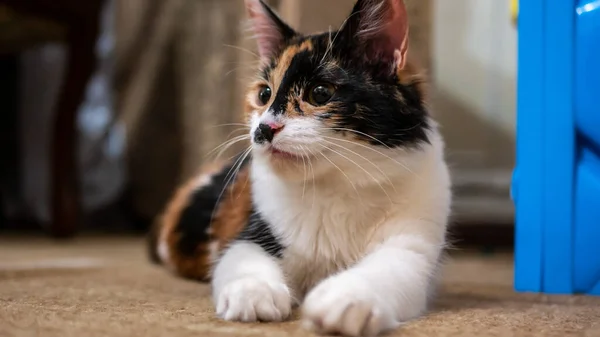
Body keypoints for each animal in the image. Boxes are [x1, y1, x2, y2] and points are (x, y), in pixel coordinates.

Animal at [149, 0, 450, 334]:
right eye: (264, 94)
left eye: (319, 93)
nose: (263, 129)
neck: (335, 185)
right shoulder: (251, 231)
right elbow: (241, 258)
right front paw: (253, 294)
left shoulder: (413, 245)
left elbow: (390, 268)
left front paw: (345, 301)